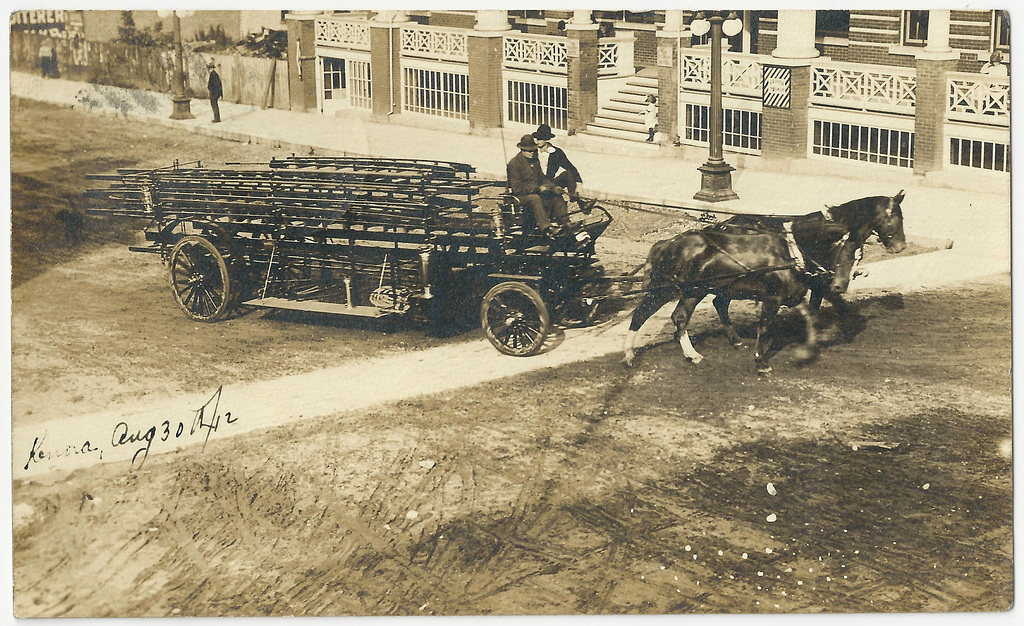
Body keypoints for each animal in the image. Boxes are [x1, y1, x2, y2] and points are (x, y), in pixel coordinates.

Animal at [618, 223, 860, 374]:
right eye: (849, 252)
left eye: (859, 254)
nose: (840, 285)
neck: (789, 254)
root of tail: (666, 244)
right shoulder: (772, 298)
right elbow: (764, 327)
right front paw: (761, 361)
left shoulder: (792, 296)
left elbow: (811, 320)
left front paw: (805, 352)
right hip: (684, 291)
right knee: (667, 316)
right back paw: (685, 353)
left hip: (678, 290)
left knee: (650, 314)